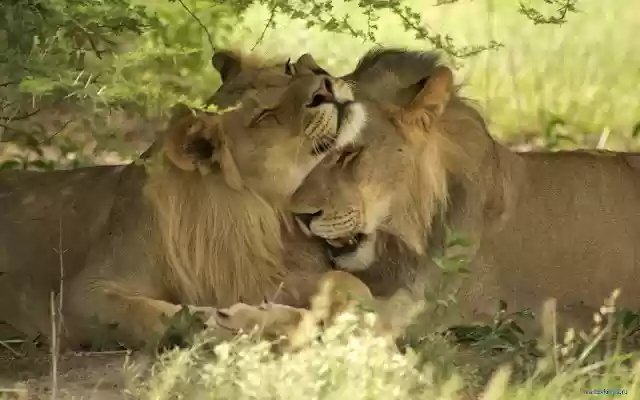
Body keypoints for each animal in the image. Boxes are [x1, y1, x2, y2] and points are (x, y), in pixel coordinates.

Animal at [0, 56, 367, 350]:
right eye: (264, 116)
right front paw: (223, 322)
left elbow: (353, 287)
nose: (325, 86)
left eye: (288, 69)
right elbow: (155, 317)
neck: (267, 217)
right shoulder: (81, 295)